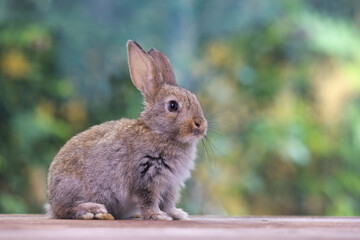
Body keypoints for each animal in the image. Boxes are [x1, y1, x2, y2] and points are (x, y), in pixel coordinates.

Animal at [46, 40, 207, 220]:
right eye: (173, 106)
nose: (201, 124)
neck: (158, 132)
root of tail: (52, 200)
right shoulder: (145, 175)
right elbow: (148, 199)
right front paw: (157, 215)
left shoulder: (170, 185)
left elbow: (167, 202)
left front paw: (177, 214)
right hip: (73, 186)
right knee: (65, 210)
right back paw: (93, 210)